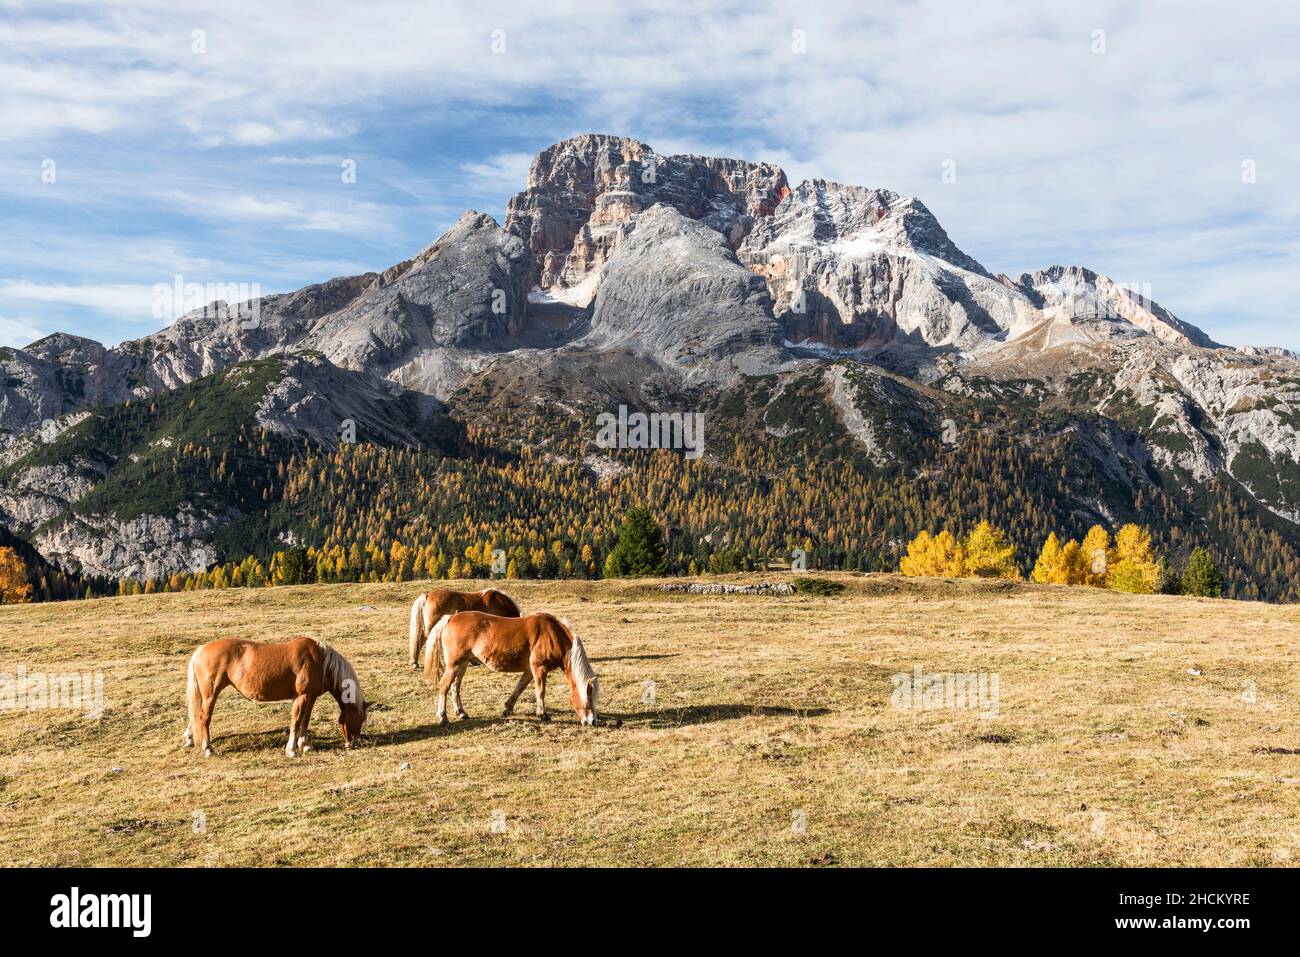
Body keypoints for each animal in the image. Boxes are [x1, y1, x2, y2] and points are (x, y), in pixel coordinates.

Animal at [182, 639, 371, 759]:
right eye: (360, 718)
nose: (355, 743)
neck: (320, 662)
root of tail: (200, 651)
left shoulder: (310, 697)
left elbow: (305, 721)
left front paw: (305, 745)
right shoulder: (302, 697)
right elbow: (295, 722)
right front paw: (292, 750)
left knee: (196, 717)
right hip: (211, 694)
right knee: (203, 717)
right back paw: (208, 749)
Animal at [426, 613, 598, 722]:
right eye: (588, 700)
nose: (592, 722)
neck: (553, 634)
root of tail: (451, 618)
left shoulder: (529, 671)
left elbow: (519, 688)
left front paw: (507, 708)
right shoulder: (539, 669)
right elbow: (540, 692)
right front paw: (542, 714)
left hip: (462, 663)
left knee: (455, 686)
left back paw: (461, 713)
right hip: (454, 664)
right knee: (444, 686)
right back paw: (443, 716)